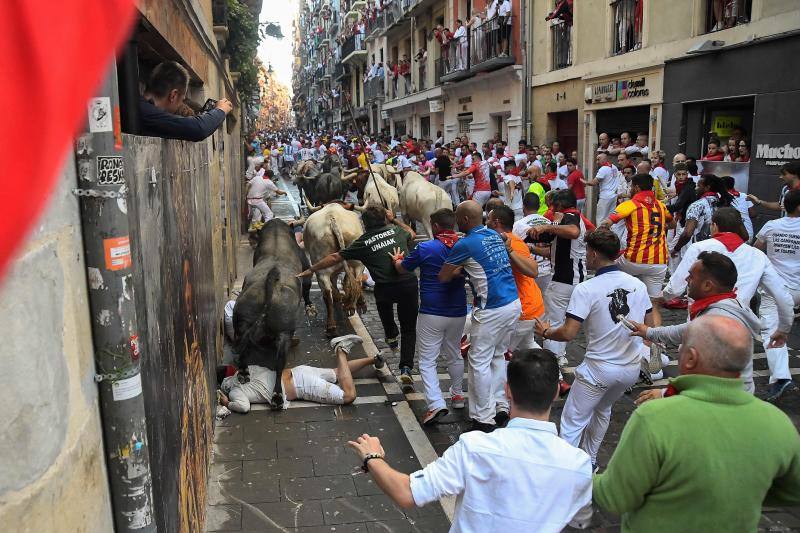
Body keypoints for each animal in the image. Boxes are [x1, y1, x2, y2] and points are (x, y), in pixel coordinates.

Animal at [304, 202, 366, 334]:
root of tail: (332, 218)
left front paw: (339, 296)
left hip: (322, 270)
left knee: (328, 292)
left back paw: (332, 324)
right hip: (357, 262)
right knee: (356, 281)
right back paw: (352, 306)